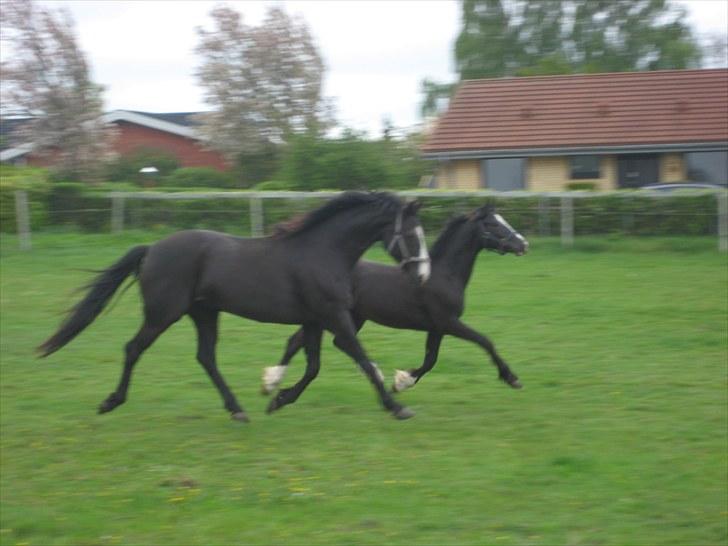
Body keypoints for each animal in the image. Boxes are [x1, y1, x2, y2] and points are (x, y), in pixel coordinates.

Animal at [37, 191, 430, 420]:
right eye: (412, 235)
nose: (424, 275)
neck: (322, 252)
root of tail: (152, 249)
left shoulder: (316, 320)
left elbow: (315, 366)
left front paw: (278, 398)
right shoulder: (333, 316)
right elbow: (361, 359)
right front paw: (397, 407)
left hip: (204, 313)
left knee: (206, 357)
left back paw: (237, 409)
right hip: (164, 313)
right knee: (134, 348)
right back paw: (112, 401)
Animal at [264, 204, 528, 396]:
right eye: (493, 224)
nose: (523, 244)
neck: (443, 275)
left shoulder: (437, 327)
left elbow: (431, 359)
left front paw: (401, 382)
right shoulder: (448, 322)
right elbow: (485, 342)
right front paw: (512, 378)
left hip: (352, 318)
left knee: (315, 341)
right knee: (304, 341)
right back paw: (272, 381)